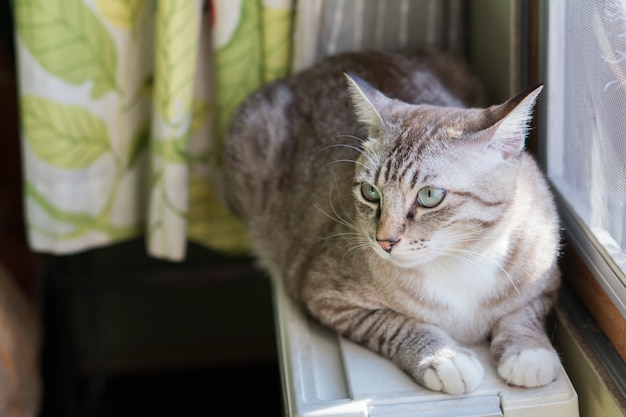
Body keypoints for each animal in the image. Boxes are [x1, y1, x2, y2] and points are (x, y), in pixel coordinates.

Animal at [221, 49, 560, 394]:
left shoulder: (547, 280)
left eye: (429, 195)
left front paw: (528, 352)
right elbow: (400, 325)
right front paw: (445, 357)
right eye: (370, 192)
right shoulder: (328, 297)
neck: (462, 260)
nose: (385, 241)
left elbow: (522, 314)